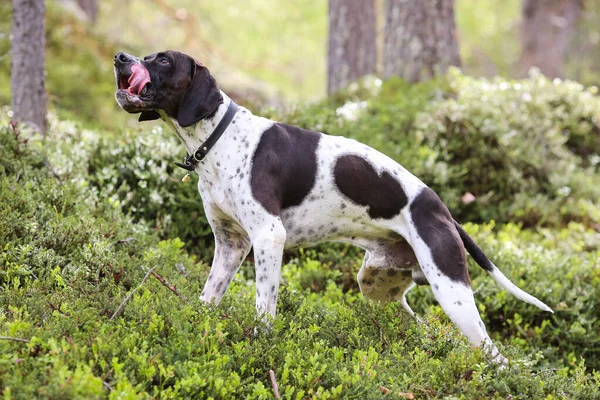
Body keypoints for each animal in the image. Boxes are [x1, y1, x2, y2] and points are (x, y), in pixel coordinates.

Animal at [113, 50, 552, 362]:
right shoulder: (230, 245)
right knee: (420, 327)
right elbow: (209, 298)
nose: (120, 58)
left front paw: (261, 347)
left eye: (163, 60)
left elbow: (264, 308)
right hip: (378, 286)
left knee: (495, 356)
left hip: (453, 293)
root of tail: (441, 208)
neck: (220, 137)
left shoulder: (268, 238)